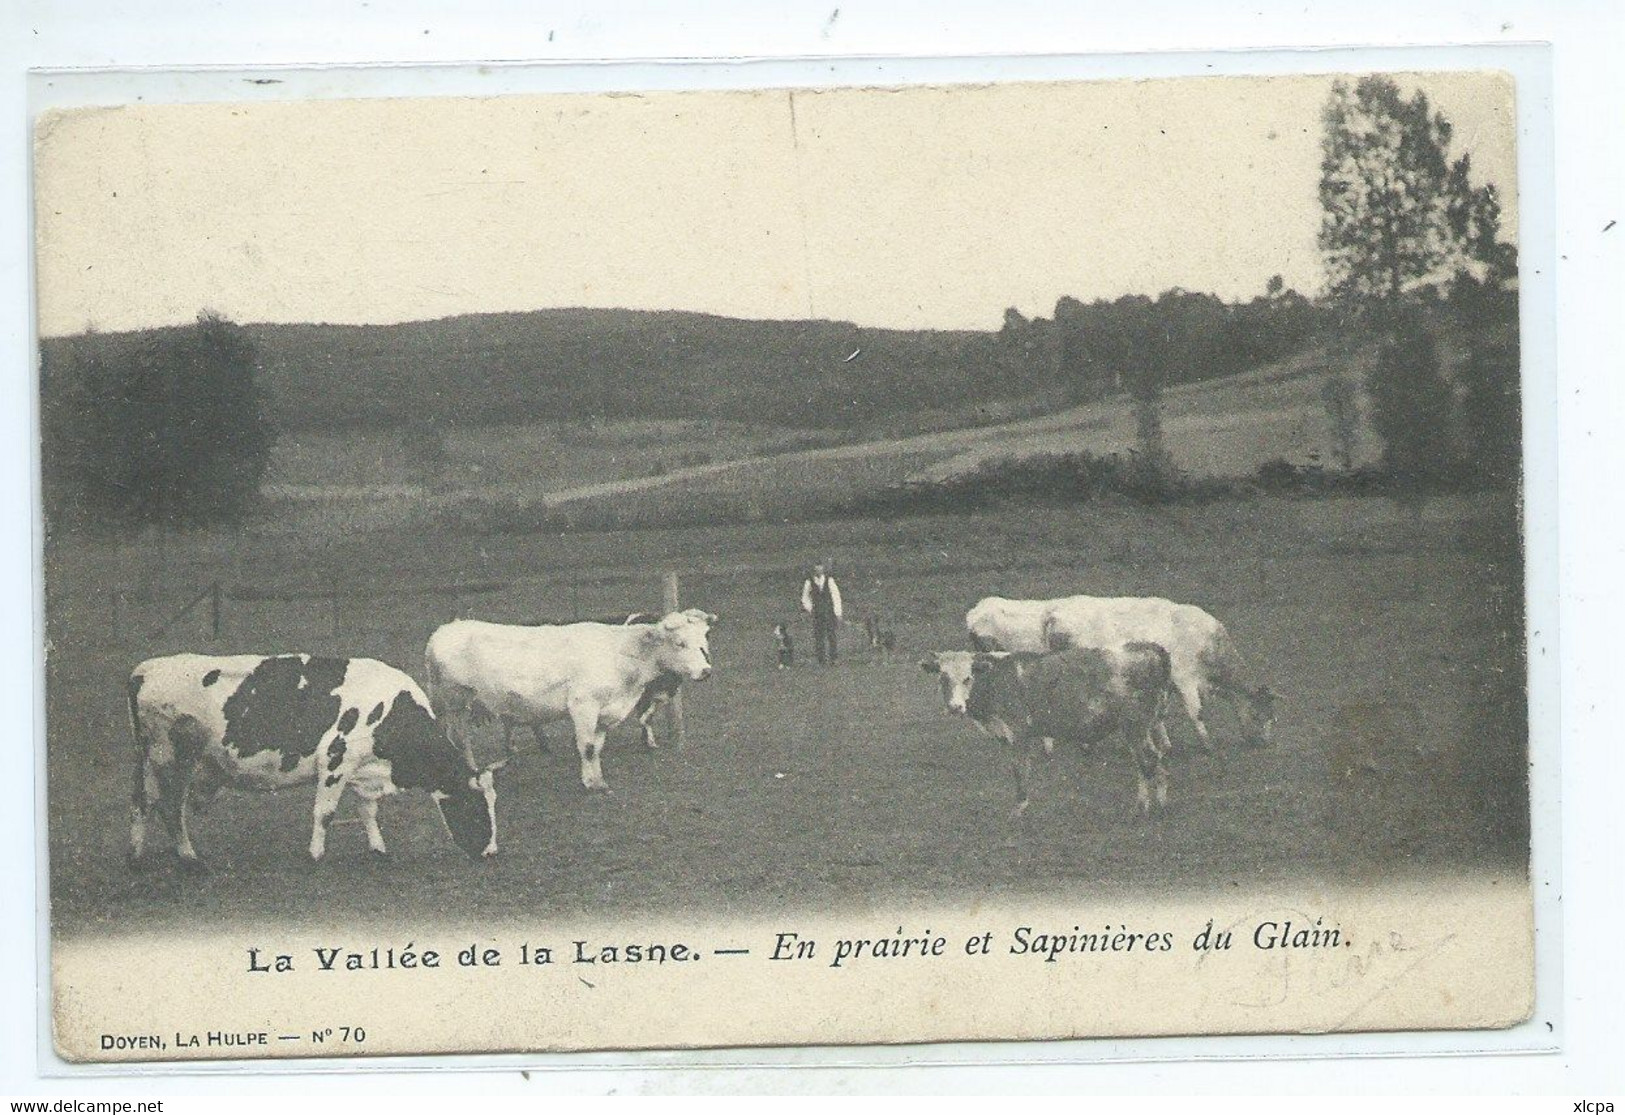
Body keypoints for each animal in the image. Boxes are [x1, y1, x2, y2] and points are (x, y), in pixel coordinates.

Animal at [127, 656, 500, 871]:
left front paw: (378, 848)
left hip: (147, 760)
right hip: (172, 758)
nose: (491, 852)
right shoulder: (336, 759)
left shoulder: (362, 769)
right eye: (476, 806)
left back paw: (137, 857)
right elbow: (325, 813)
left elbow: (368, 811)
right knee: (170, 806)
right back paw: (189, 857)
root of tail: (147, 668)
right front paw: (316, 855)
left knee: (142, 803)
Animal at [425, 611, 718, 796]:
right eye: (680, 643)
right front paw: (590, 784)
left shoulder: (605, 712)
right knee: (460, 738)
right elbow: (587, 748)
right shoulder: (583, 705)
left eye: (703, 641)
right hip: (454, 701)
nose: (706, 671)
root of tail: (445, 629)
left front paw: (598, 781)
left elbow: (597, 748)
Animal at [923, 646, 1176, 822]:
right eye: (943, 677)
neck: (996, 678)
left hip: (1135, 725)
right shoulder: (1005, 736)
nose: (955, 707)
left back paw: (1140, 809)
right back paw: (1161, 804)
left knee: (1147, 760)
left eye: (968, 677)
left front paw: (1019, 809)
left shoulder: (1018, 732)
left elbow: (1020, 769)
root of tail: (1151, 649)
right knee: (1157, 757)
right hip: (1148, 725)